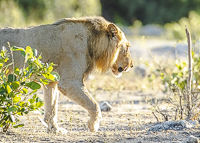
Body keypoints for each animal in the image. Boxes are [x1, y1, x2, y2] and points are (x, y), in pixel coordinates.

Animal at [0, 16, 134, 134]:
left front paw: (55, 130)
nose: (132, 65)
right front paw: (93, 126)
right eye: (127, 47)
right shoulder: (69, 82)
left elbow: (51, 109)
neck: (93, 44)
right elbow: (94, 105)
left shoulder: (52, 81)